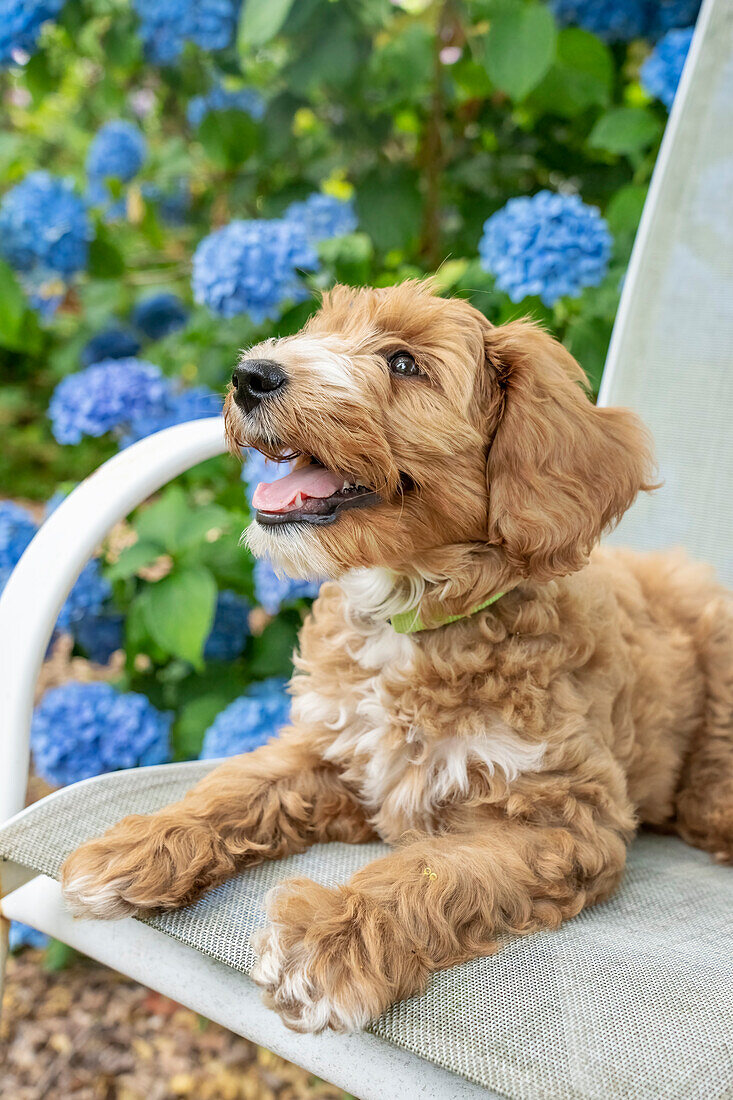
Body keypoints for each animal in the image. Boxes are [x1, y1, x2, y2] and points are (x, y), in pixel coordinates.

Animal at [62, 281, 730, 1029]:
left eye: (405, 363)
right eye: (318, 329)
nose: (249, 376)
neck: (406, 615)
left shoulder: (565, 819)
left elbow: (431, 871)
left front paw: (328, 940)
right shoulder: (333, 747)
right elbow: (240, 784)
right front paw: (140, 846)